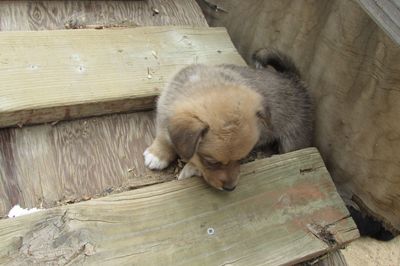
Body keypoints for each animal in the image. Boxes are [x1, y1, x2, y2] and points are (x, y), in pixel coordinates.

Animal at [143, 48, 312, 191]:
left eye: (243, 159)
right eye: (211, 162)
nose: (231, 188)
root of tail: (295, 81)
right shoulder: (164, 112)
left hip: (291, 143)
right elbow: (163, 137)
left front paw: (190, 168)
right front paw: (157, 154)